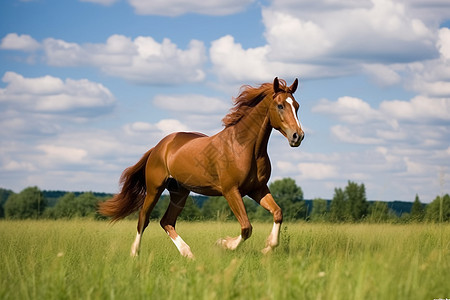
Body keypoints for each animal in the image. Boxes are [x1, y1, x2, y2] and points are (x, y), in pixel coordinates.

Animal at [97, 77, 302, 258]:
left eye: (297, 106)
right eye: (280, 105)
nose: (298, 136)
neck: (244, 147)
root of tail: (158, 147)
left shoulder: (257, 189)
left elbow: (277, 213)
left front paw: (267, 248)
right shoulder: (231, 191)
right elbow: (246, 227)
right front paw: (223, 244)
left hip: (179, 192)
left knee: (166, 221)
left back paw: (188, 254)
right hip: (154, 189)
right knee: (143, 218)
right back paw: (135, 254)